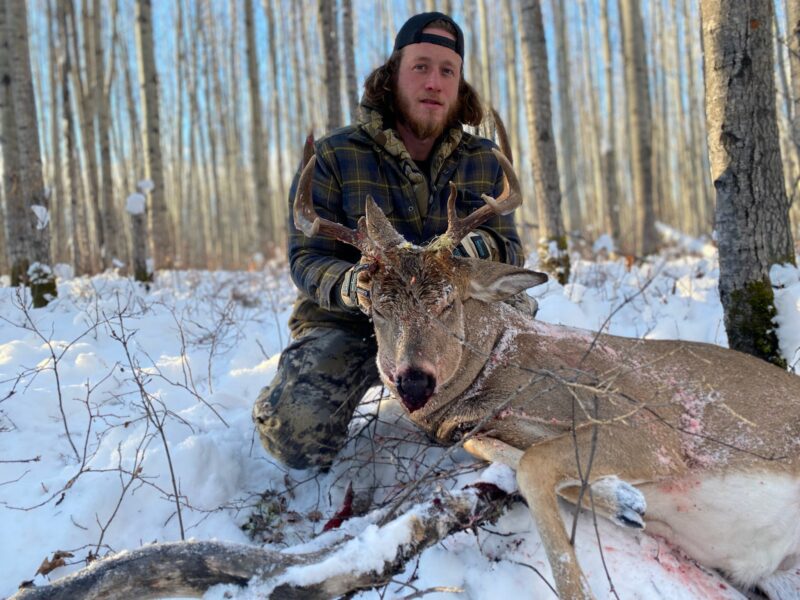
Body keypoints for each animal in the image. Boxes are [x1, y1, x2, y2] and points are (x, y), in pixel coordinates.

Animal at [292, 150, 800, 600]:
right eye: (375, 307)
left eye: (448, 303)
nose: (413, 382)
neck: (494, 370)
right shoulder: (479, 428)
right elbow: (499, 451)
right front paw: (621, 499)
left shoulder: (645, 426)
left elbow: (534, 466)